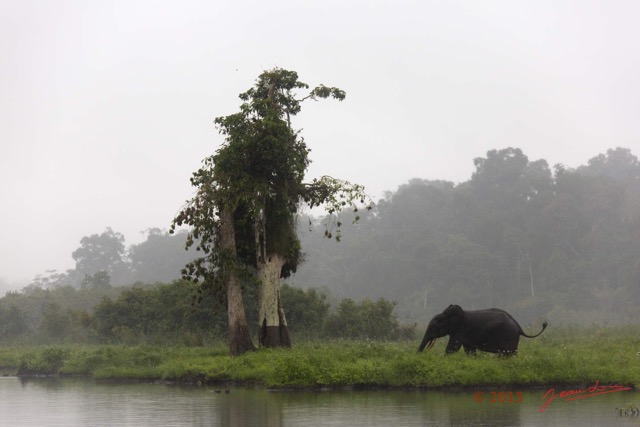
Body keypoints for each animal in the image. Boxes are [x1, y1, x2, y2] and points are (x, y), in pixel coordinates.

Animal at [418, 306, 548, 356]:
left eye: (434, 327)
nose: (419, 355)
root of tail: (519, 327)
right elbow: (469, 350)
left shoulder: (461, 329)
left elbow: (452, 348)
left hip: (509, 336)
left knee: (507, 354)